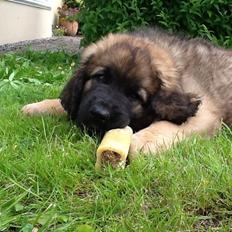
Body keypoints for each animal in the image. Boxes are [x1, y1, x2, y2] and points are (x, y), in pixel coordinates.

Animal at [22, 26, 232, 158]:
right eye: (101, 78)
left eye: (134, 96)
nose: (100, 114)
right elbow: (67, 102)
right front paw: (38, 107)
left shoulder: (204, 113)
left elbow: (167, 125)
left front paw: (141, 141)